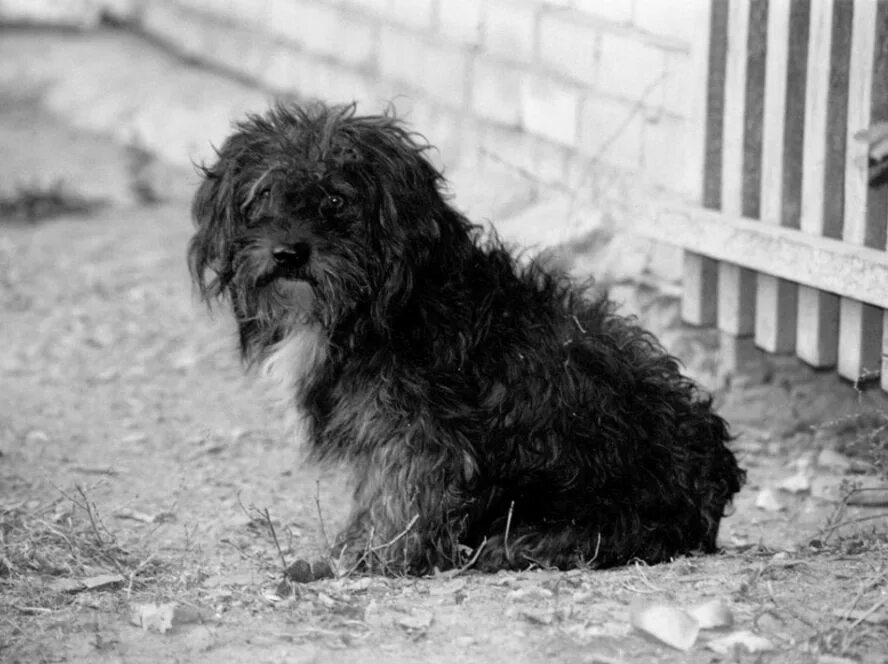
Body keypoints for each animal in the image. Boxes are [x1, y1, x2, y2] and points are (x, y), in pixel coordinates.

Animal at [191, 102, 744, 576]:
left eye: (335, 199)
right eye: (263, 196)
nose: (287, 252)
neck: (389, 303)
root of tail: (715, 483)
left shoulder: (417, 432)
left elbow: (399, 497)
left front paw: (369, 557)